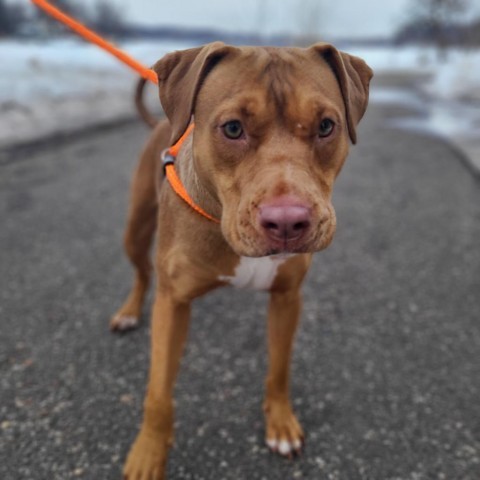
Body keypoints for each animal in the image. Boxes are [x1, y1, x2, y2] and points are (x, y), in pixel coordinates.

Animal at [111, 42, 372, 480]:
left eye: (326, 126)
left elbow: (279, 369)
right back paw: (129, 311)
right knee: (141, 272)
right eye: (232, 129)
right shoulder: (172, 303)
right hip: (136, 229)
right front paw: (148, 453)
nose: (287, 222)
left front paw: (280, 424)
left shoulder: (287, 298)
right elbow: (158, 391)